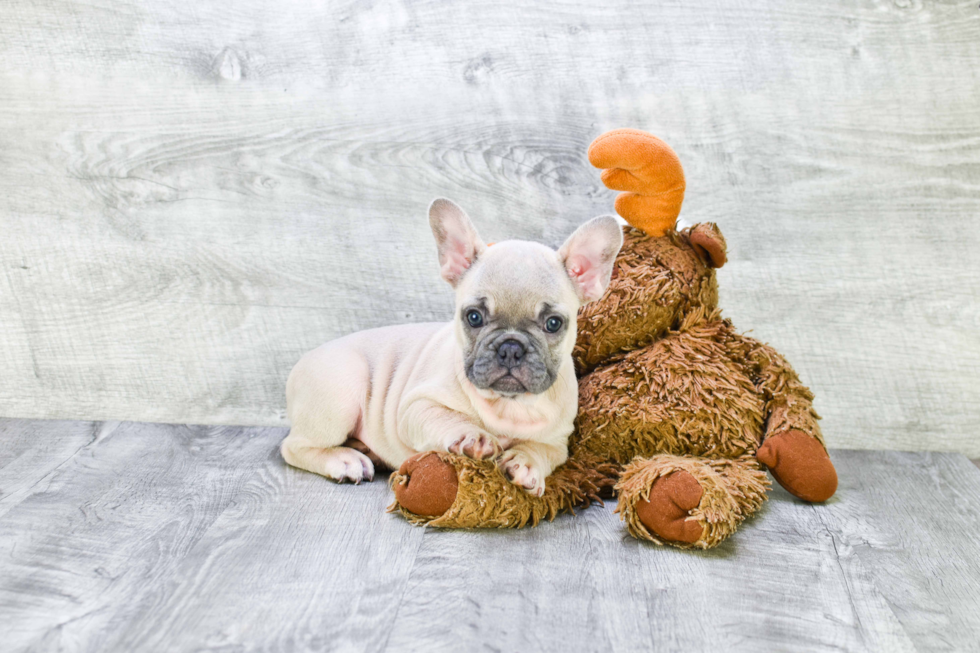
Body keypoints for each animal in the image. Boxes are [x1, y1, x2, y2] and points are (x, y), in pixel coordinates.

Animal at [282, 199, 620, 494]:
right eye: (474, 317)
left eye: (553, 323)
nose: (511, 347)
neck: (509, 405)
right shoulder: (416, 405)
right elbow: (447, 417)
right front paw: (473, 435)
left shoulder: (558, 441)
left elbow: (542, 450)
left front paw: (526, 464)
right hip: (341, 392)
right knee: (292, 447)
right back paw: (343, 460)